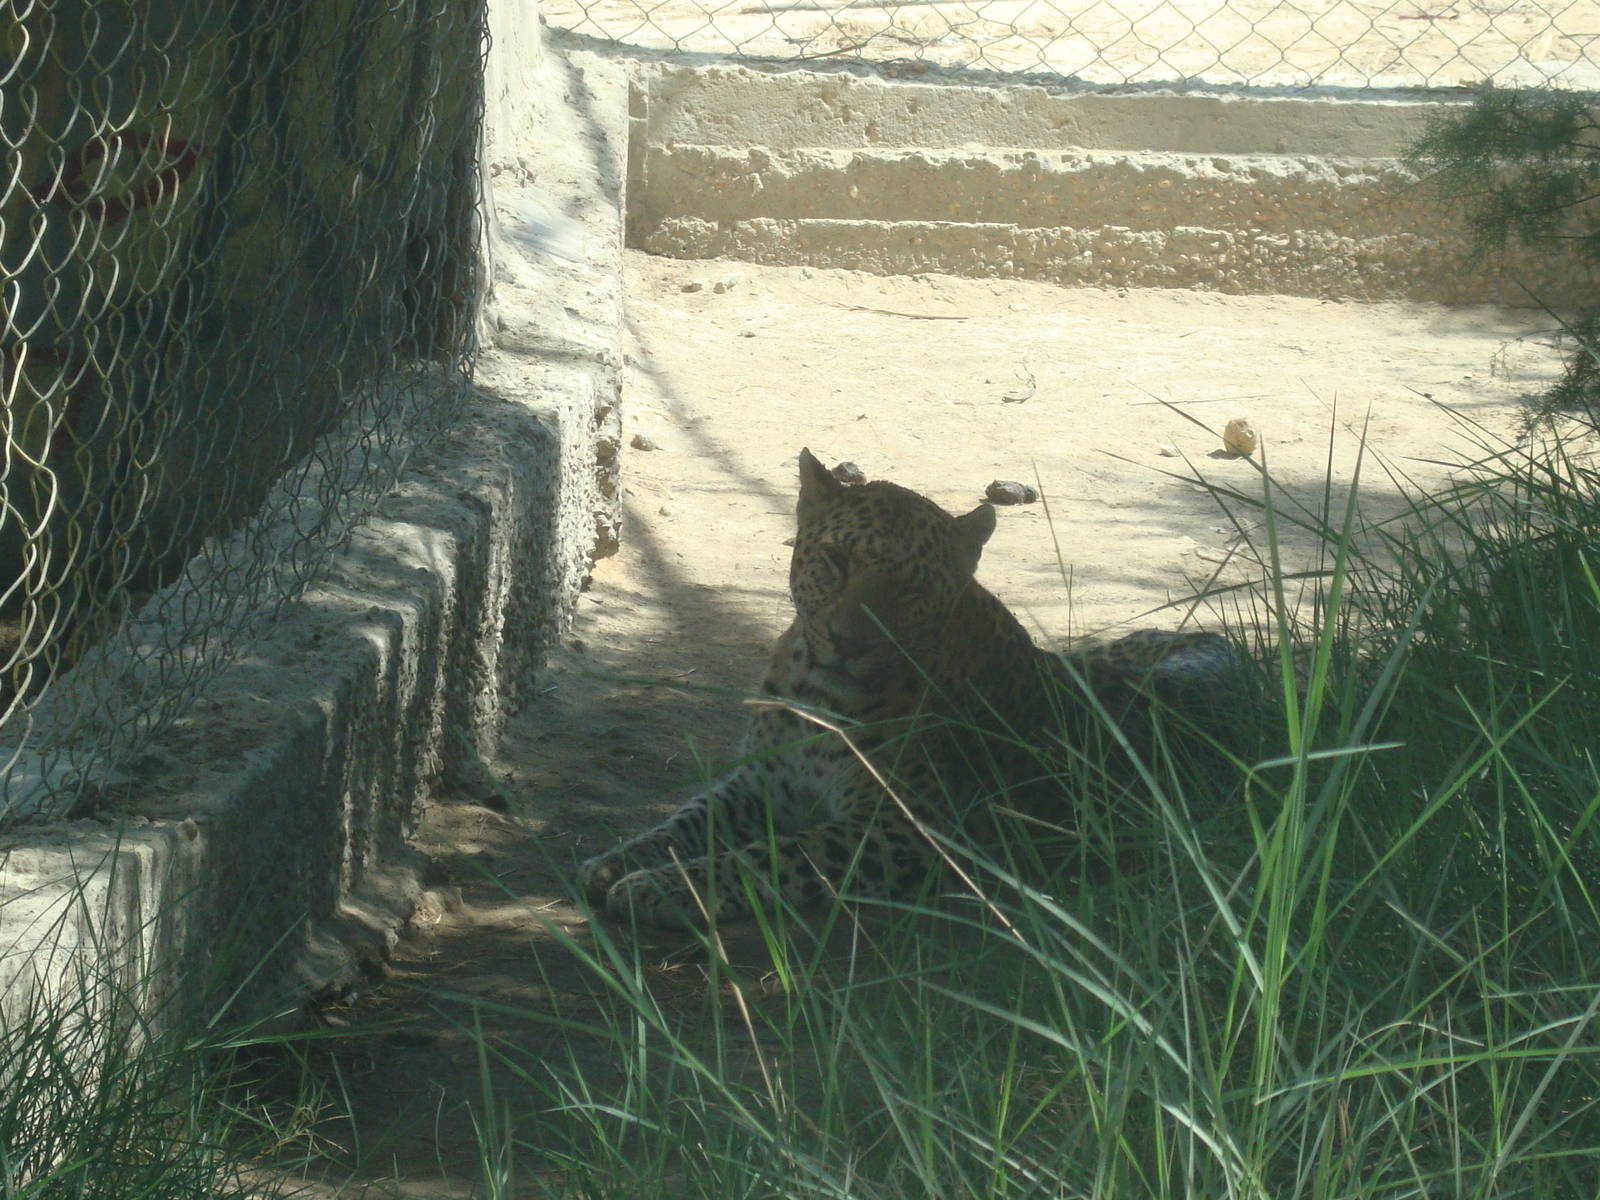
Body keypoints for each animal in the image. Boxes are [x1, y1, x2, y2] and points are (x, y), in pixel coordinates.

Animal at [577, 448, 1244, 928]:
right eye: (836, 559)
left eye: (910, 589)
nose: (847, 643)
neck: (816, 701)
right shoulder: (762, 781)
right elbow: (690, 819)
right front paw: (620, 860)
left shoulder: (903, 830)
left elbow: (774, 854)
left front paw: (662, 886)